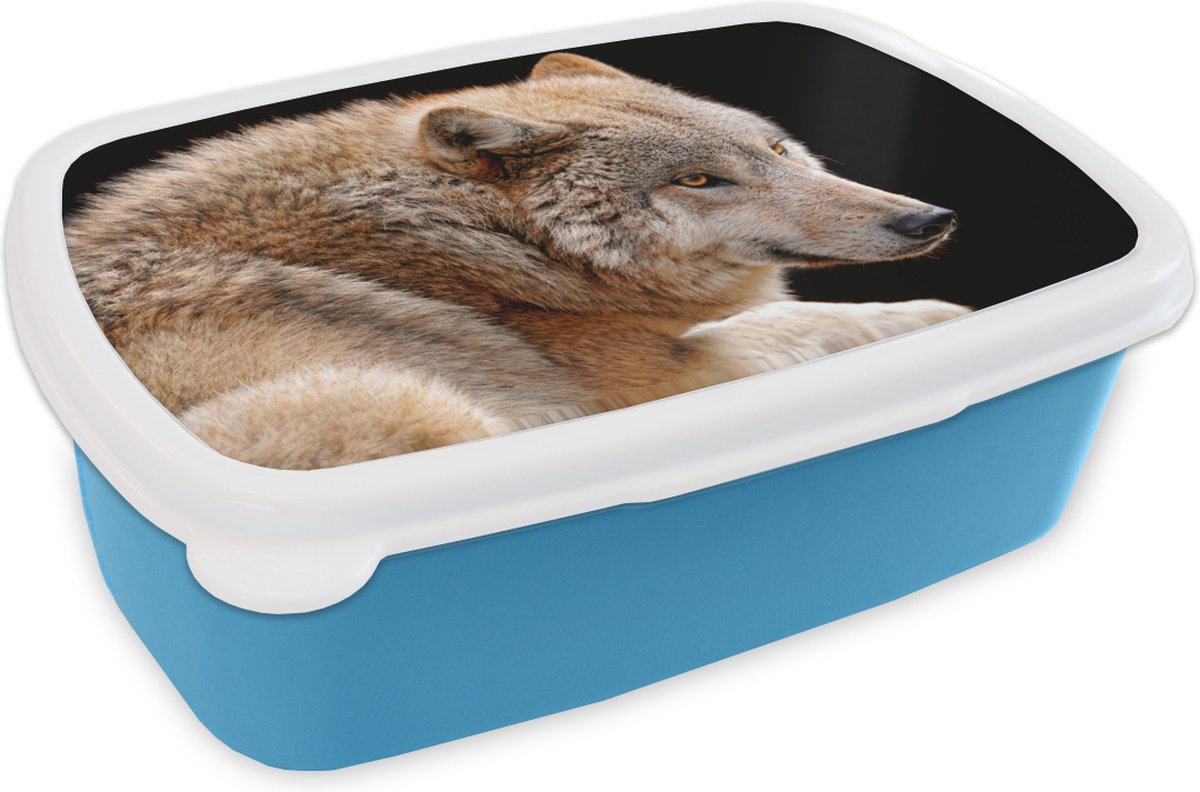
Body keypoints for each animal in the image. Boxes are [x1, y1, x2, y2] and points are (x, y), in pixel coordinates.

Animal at [65, 52, 969, 470]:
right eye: (698, 179)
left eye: (777, 150)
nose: (927, 218)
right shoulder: (668, 374)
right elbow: (797, 323)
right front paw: (937, 316)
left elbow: (798, 314)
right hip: (412, 404)